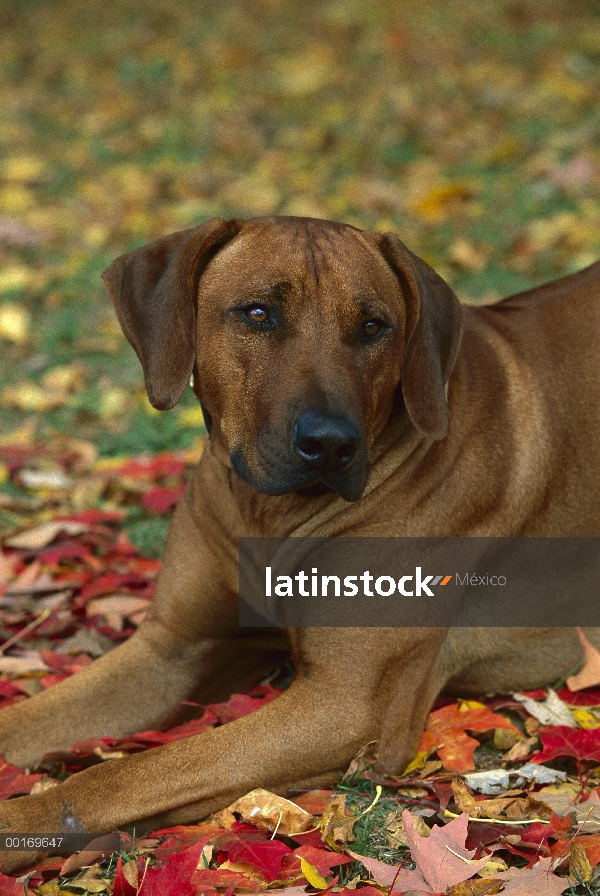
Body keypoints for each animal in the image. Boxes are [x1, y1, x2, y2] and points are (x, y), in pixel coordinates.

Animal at [1, 214, 600, 872]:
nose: (330, 442)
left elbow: (120, 776)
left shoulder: (346, 703)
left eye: (373, 326)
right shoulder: (169, 650)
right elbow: (24, 720)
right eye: (259, 313)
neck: (268, 513)